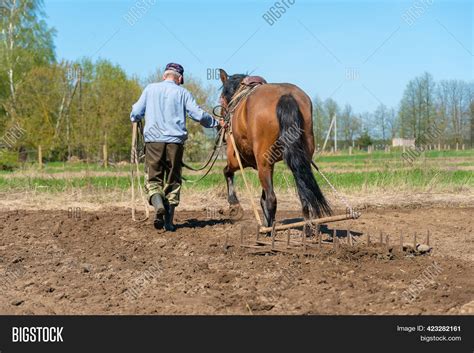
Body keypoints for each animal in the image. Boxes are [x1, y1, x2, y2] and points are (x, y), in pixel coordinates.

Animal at [218, 69, 332, 231]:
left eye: (221, 99)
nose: (221, 124)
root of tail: (286, 96)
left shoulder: (238, 158)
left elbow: (227, 172)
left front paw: (235, 205)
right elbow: (263, 197)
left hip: (261, 161)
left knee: (272, 198)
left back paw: (268, 229)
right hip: (301, 157)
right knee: (304, 194)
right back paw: (307, 228)